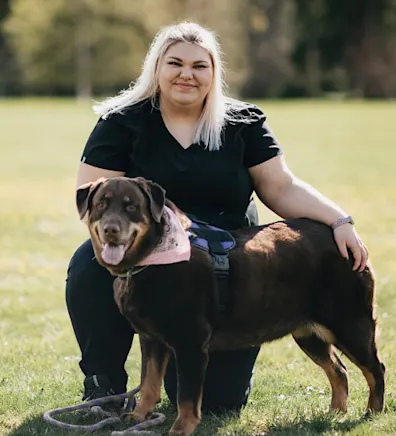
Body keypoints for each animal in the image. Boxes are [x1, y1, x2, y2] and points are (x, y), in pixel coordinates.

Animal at [76, 177, 386, 436]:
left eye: (131, 206)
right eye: (102, 204)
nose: (111, 229)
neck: (152, 258)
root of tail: (345, 241)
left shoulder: (191, 343)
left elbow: (186, 396)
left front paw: (181, 429)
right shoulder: (151, 339)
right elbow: (149, 383)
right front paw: (139, 417)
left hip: (350, 323)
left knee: (375, 368)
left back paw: (372, 413)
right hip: (309, 333)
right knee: (339, 370)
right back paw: (335, 412)